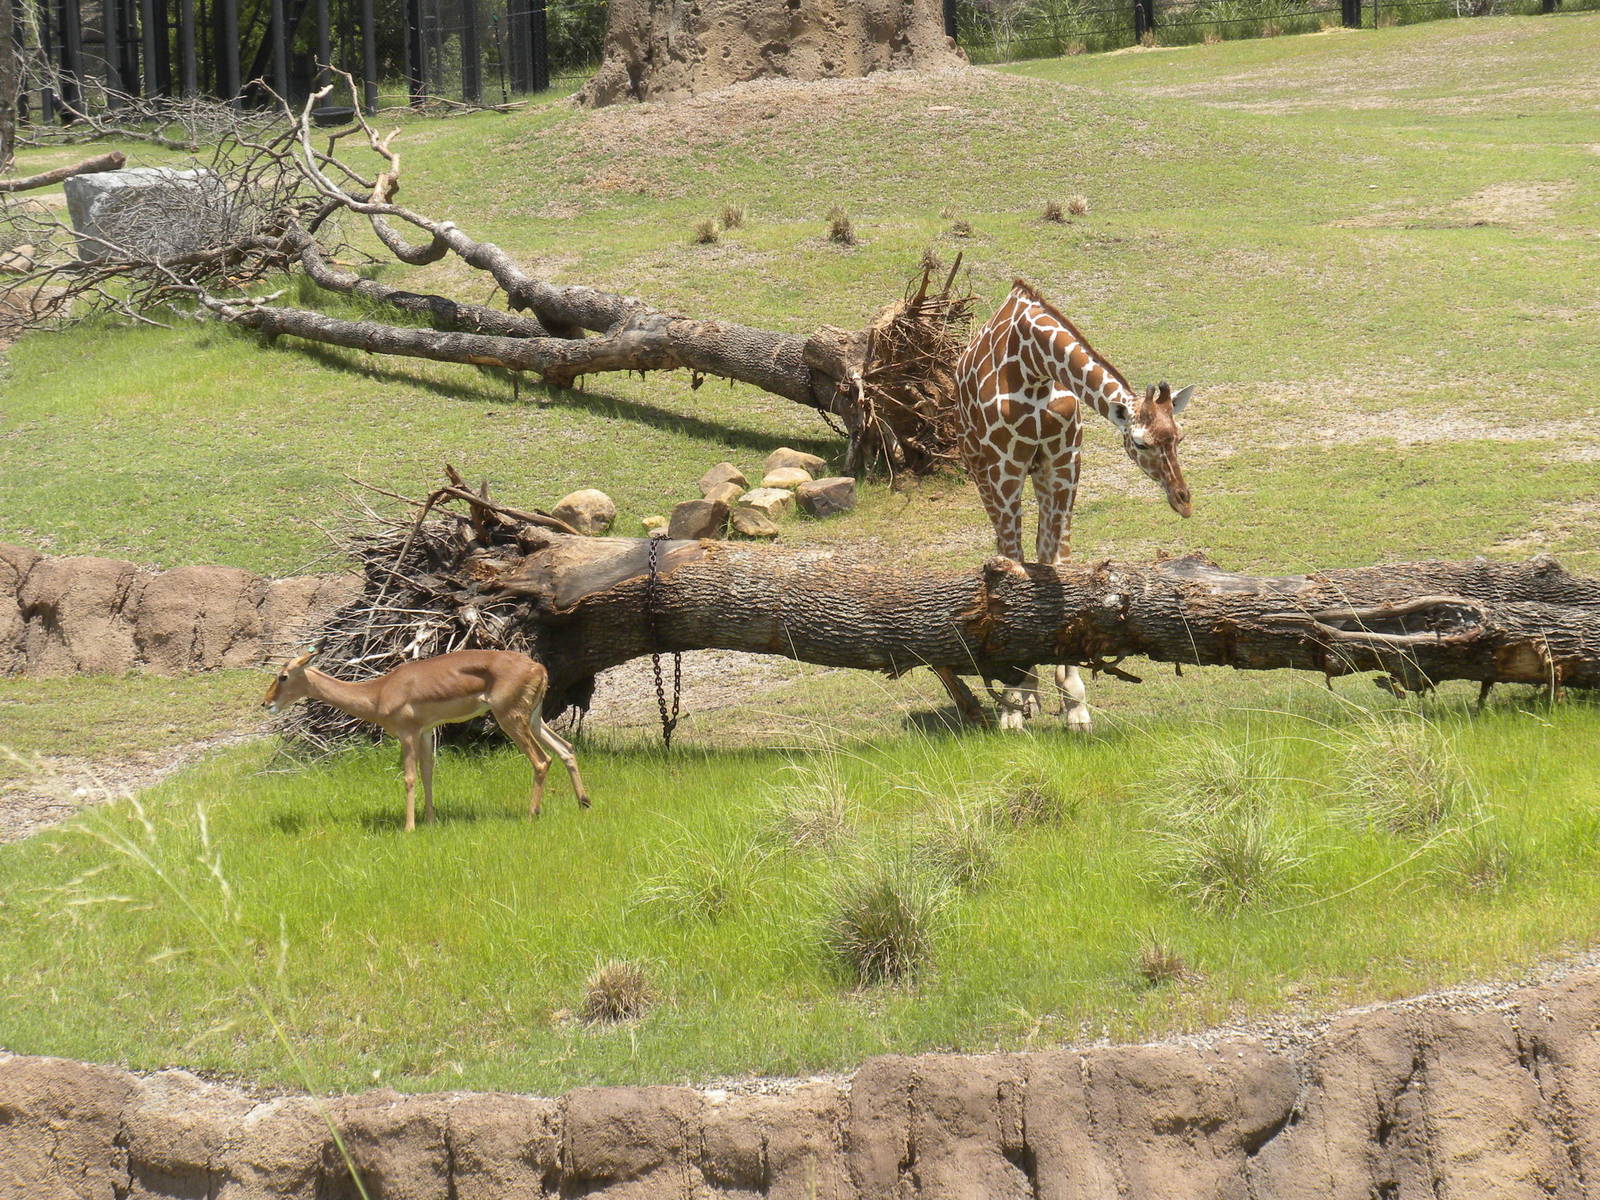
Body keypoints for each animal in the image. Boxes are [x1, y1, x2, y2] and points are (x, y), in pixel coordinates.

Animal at [263, 649, 589, 830]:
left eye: (282, 676)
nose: (267, 703)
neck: (378, 692)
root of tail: (539, 668)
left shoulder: (407, 733)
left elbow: (409, 777)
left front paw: (409, 827)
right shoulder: (426, 732)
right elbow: (428, 774)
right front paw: (430, 821)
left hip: (510, 718)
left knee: (542, 760)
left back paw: (531, 814)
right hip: (533, 718)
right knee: (566, 748)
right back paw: (584, 803)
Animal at [938, 279, 1195, 731]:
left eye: (1177, 436)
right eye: (1141, 443)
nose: (1182, 500)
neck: (1035, 368)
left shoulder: (1063, 464)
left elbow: (1057, 567)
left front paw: (1074, 700)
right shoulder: (1005, 468)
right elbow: (1014, 567)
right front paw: (1013, 703)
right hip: (981, 470)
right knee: (1006, 549)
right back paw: (1025, 694)